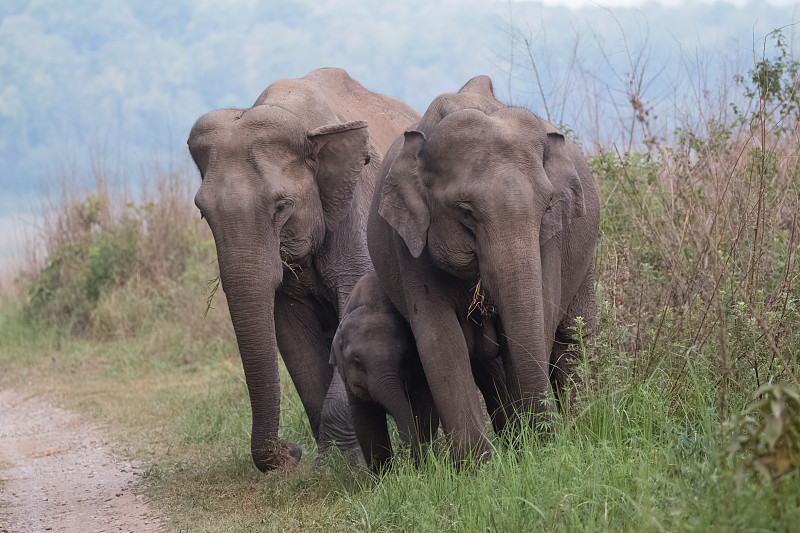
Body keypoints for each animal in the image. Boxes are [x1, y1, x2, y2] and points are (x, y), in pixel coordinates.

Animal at [188, 67, 422, 470]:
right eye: (203, 212)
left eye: (281, 207)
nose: (290, 451)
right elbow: (295, 340)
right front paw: (328, 465)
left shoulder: (356, 211)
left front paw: (340, 467)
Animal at [330, 272, 506, 468]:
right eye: (357, 363)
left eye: (405, 358)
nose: (403, 449)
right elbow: (365, 421)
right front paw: (386, 473)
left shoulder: (419, 367)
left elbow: (423, 408)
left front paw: (422, 464)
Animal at [366, 74, 596, 462]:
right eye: (465, 211)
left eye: (548, 206)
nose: (547, 445)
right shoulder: (408, 244)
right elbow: (439, 341)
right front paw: (483, 466)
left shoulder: (552, 237)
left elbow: (540, 319)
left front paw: (527, 452)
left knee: (572, 336)